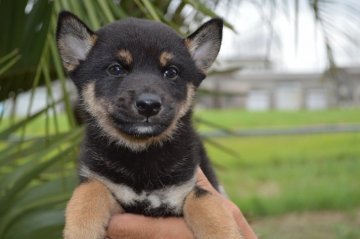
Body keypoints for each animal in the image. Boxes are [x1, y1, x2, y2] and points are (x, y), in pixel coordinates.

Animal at [56, 10, 242, 239]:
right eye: (116, 69)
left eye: (171, 72)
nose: (148, 105)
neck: (142, 153)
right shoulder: (107, 188)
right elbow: (88, 191)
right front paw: (81, 229)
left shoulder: (185, 188)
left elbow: (207, 203)